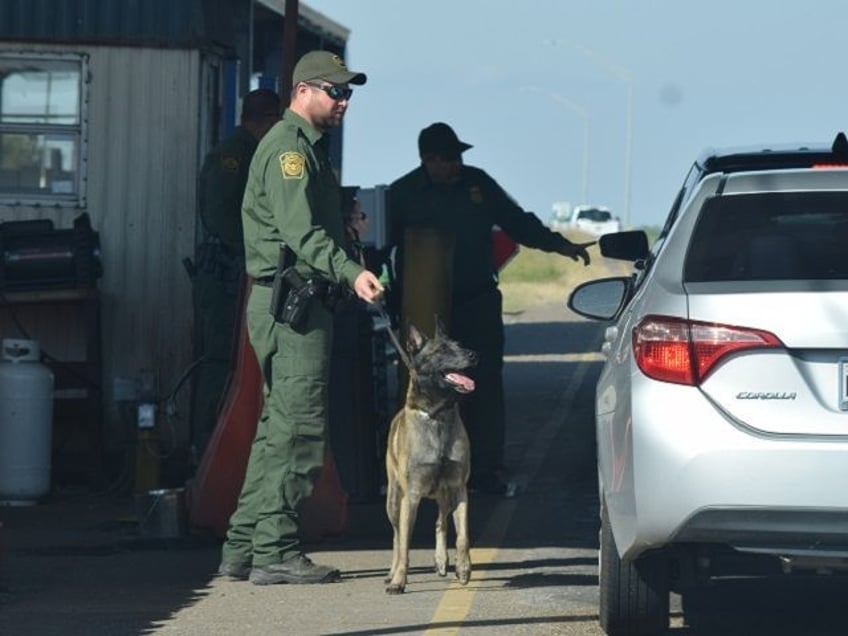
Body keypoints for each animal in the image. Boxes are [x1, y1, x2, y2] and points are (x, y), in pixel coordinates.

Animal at [384, 320, 476, 592]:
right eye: (441, 351)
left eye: (459, 344)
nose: (473, 355)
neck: (437, 414)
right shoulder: (411, 497)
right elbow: (404, 545)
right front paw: (399, 580)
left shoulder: (459, 488)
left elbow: (463, 537)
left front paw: (463, 568)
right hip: (394, 501)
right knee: (396, 536)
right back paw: (392, 572)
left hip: (445, 496)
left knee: (441, 522)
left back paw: (442, 560)